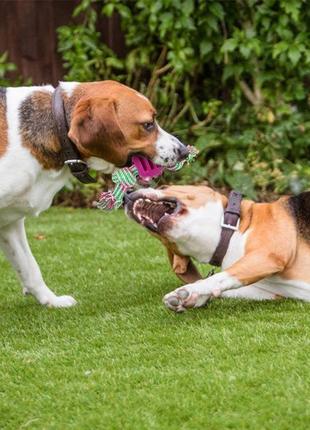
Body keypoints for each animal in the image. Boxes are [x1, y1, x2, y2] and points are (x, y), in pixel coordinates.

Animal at [0, 80, 189, 308]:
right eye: (148, 125)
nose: (184, 151)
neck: (55, 125)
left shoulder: (10, 223)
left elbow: (29, 267)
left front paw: (51, 301)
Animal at [124, 185, 310, 312]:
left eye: (163, 186)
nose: (125, 195)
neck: (232, 228)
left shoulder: (267, 256)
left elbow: (219, 278)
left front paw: (188, 291)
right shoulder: (272, 291)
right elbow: (217, 285)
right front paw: (192, 298)